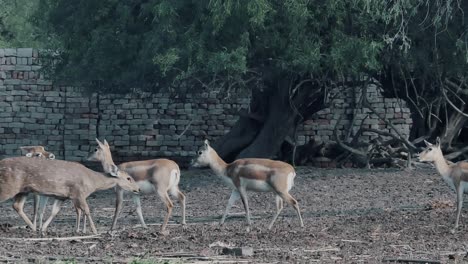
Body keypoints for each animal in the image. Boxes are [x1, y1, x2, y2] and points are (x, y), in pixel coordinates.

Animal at [0, 155, 139, 235]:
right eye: (128, 178)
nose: (137, 189)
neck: (92, 182)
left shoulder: (62, 196)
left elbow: (55, 211)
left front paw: (43, 229)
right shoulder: (79, 193)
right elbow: (87, 210)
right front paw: (95, 231)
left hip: (23, 190)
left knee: (17, 206)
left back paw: (33, 228)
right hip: (9, 185)